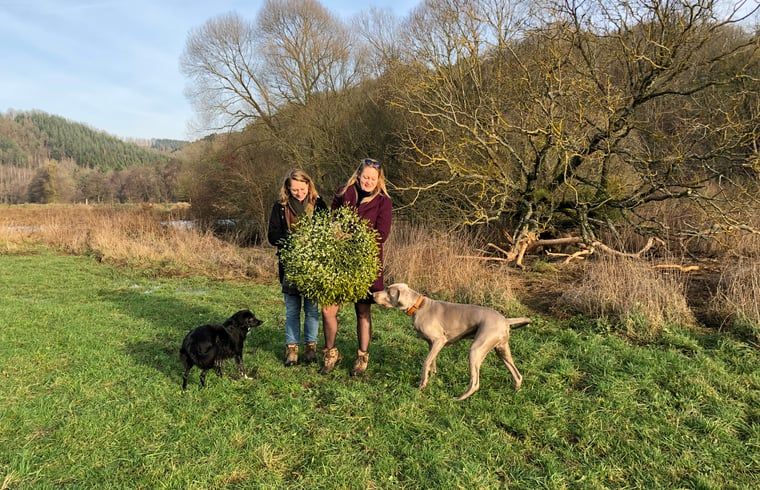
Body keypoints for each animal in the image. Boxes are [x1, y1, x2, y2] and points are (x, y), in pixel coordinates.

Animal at [373, 283, 530, 400]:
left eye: (389, 291)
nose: (372, 294)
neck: (419, 306)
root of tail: (505, 320)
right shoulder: (432, 343)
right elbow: (432, 361)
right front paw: (433, 375)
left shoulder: (439, 340)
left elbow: (426, 362)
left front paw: (422, 384)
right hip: (501, 350)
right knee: (517, 374)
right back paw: (515, 391)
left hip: (475, 350)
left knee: (475, 383)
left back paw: (459, 398)